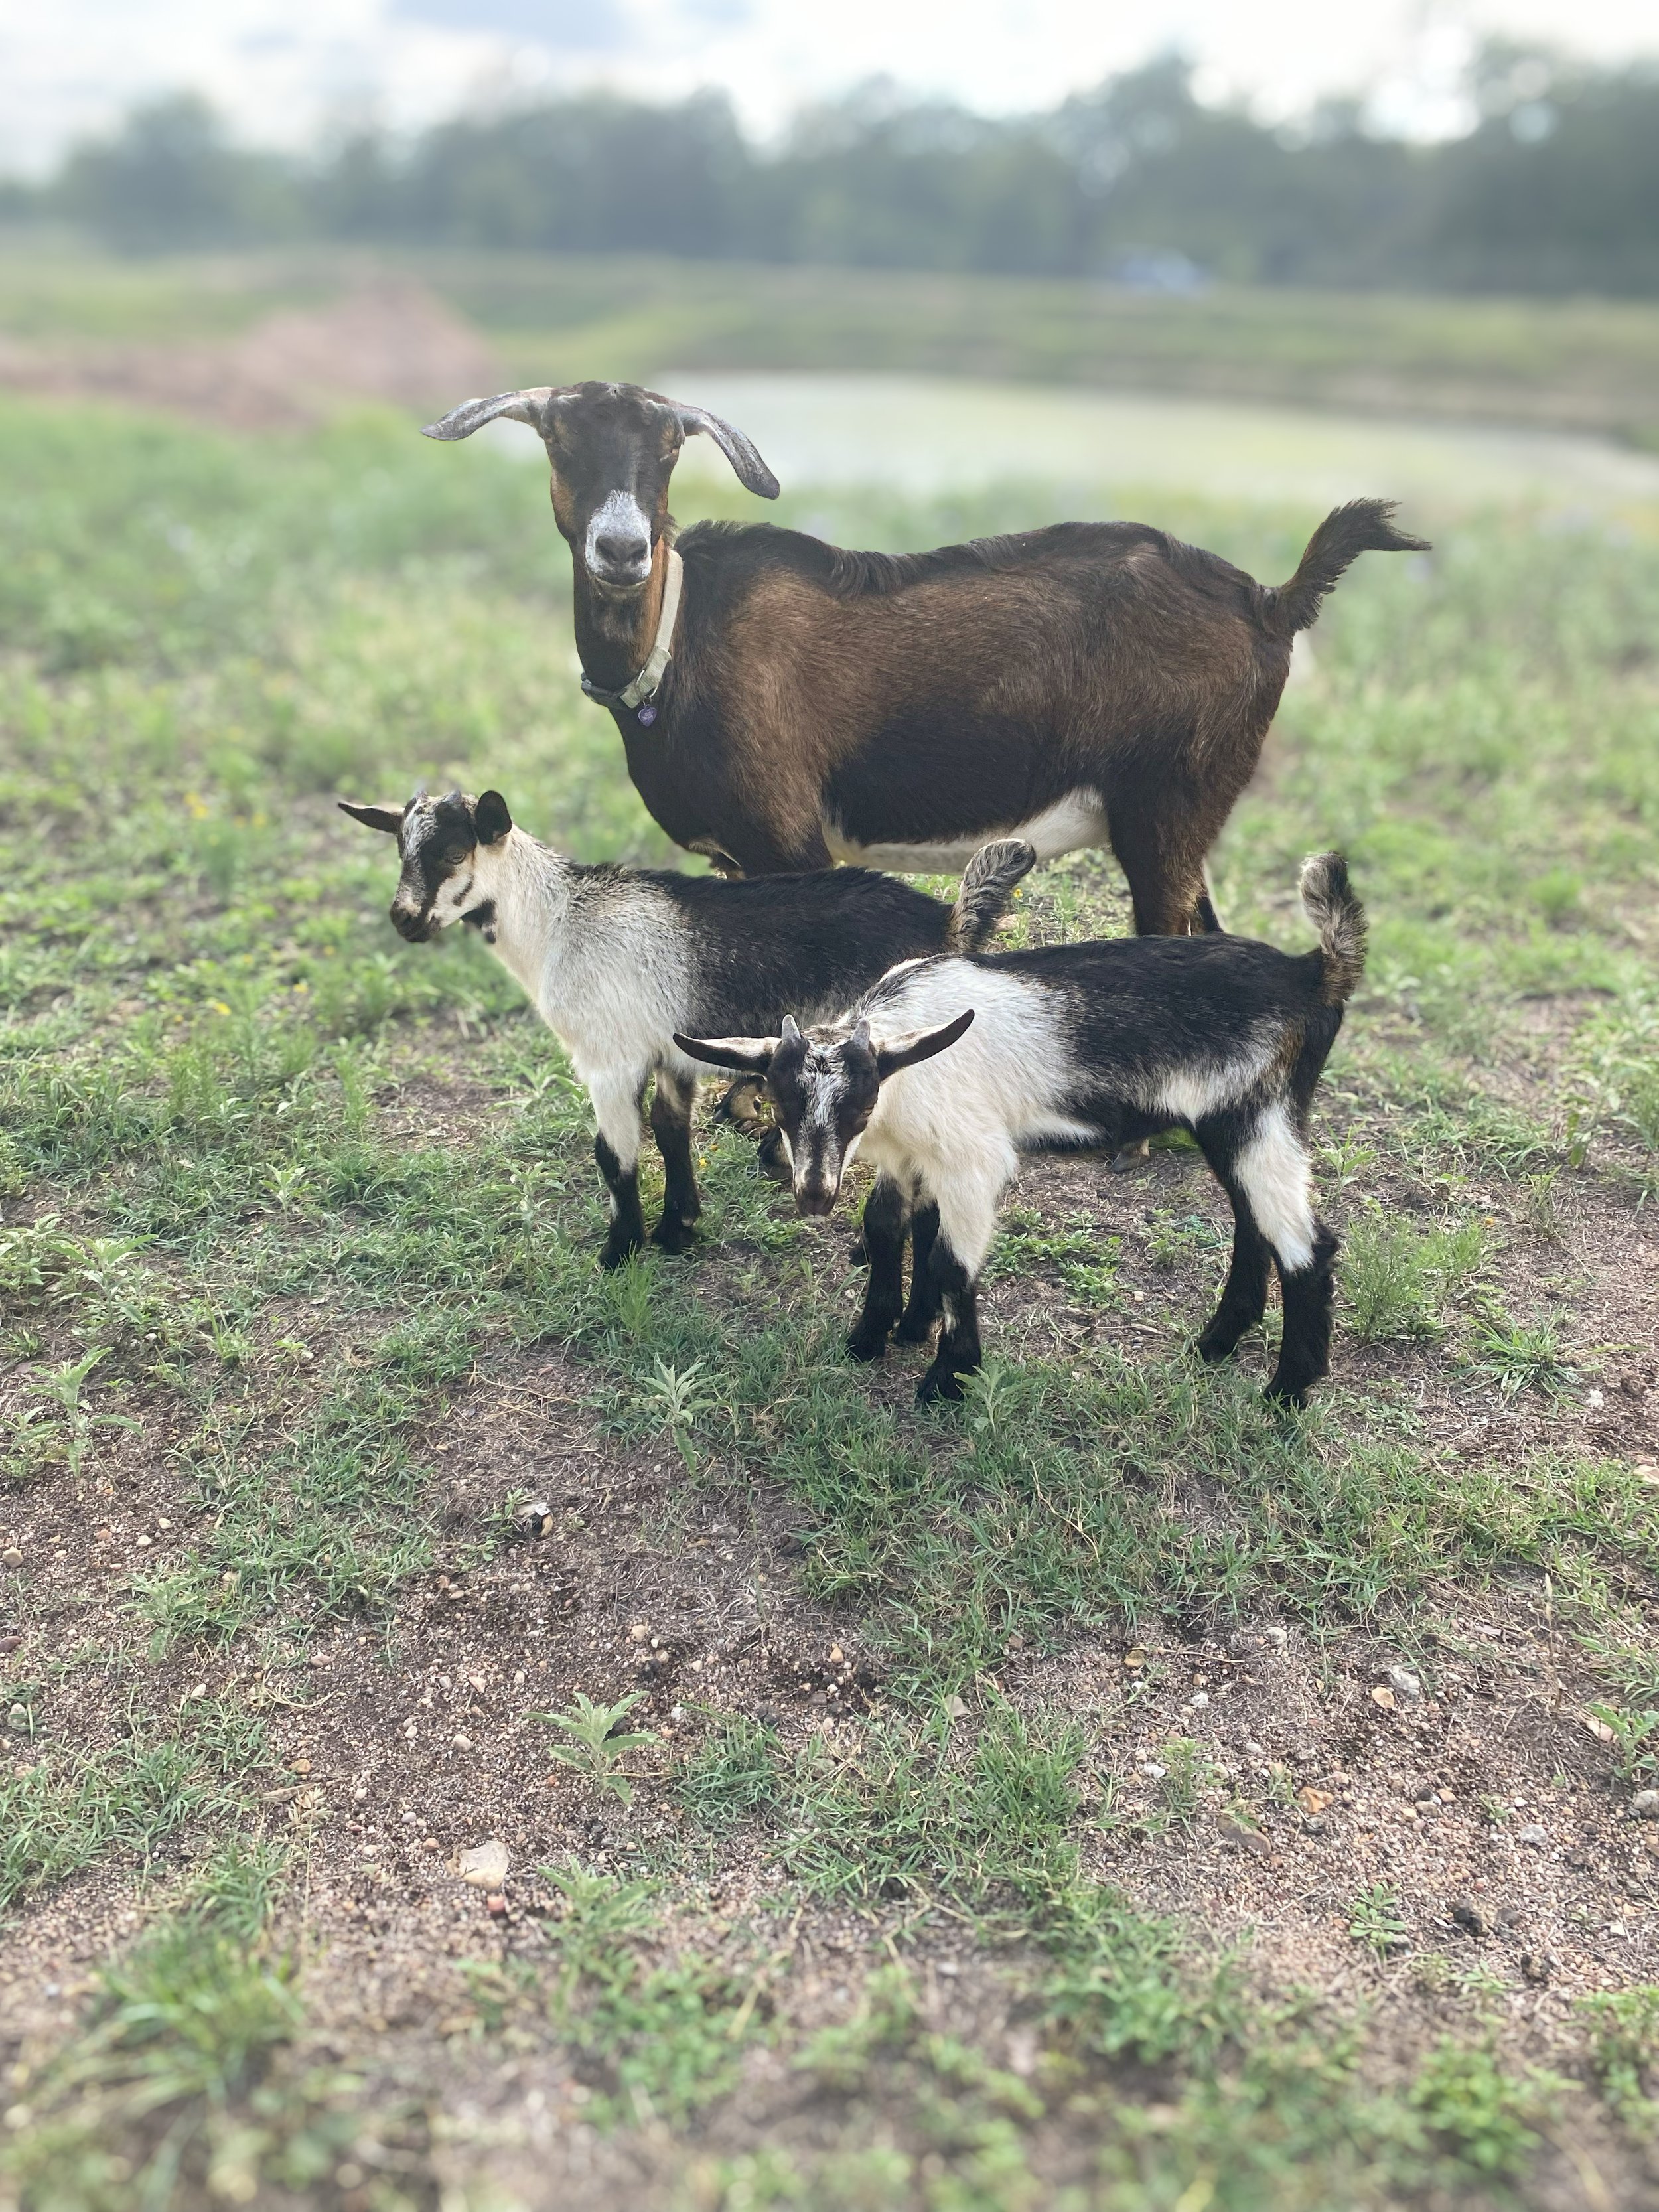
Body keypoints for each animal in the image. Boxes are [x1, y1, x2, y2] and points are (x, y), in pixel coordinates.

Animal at [340, 788, 1034, 1266]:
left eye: (453, 852)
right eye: (400, 851)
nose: (404, 919)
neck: (559, 923)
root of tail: (948, 924)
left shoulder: (608, 1058)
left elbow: (614, 1153)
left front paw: (619, 1252)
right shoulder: (671, 1056)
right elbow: (672, 1132)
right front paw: (679, 1229)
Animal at [424, 379, 1425, 930]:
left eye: (670, 448)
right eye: (558, 439)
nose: (623, 549)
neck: (681, 640)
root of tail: (1271, 601)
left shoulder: (792, 841)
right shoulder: (739, 859)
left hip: (1170, 801)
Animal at [676, 853, 1367, 1407]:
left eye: (858, 1105)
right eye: (782, 1104)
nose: (813, 1194)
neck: (905, 1061)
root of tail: (1312, 973)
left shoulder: (974, 1159)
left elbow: (951, 1258)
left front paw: (947, 1378)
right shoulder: (911, 1156)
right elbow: (891, 1228)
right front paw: (882, 1334)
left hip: (1259, 1118)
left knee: (1308, 1247)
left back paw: (1285, 1394)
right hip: (1232, 1126)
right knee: (1255, 1227)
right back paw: (1217, 1344)